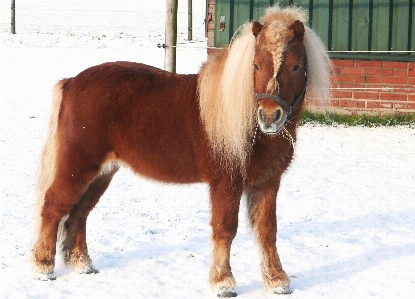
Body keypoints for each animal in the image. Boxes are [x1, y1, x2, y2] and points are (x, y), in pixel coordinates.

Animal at [31, 5, 332, 298]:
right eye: (256, 65)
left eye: (296, 66)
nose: (269, 117)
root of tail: (71, 82)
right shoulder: (226, 183)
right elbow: (225, 229)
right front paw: (223, 283)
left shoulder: (267, 183)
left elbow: (267, 231)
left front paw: (277, 281)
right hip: (78, 165)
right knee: (53, 206)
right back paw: (43, 267)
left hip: (101, 173)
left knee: (79, 212)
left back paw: (82, 264)